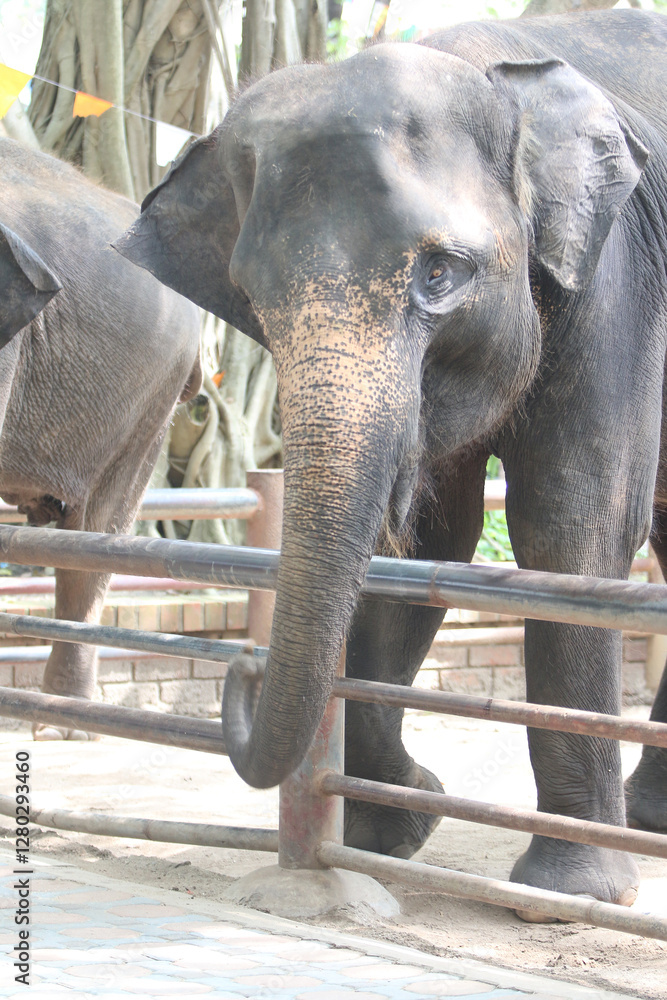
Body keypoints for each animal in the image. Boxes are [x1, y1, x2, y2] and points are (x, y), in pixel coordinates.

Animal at [116, 9, 667, 913]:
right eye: (253, 296)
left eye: (439, 272)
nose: (242, 666)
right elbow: (424, 539)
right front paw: (390, 831)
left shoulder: (617, 282)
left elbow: (569, 522)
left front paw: (569, 894)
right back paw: (650, 816)